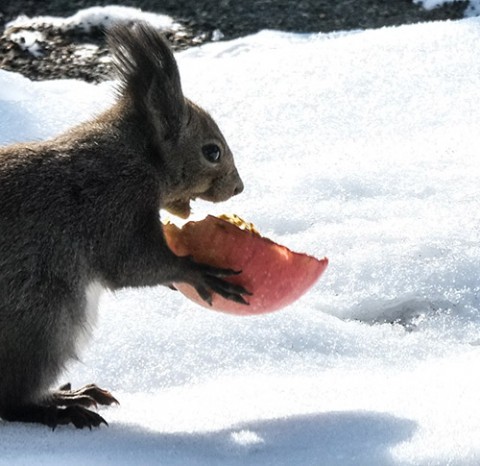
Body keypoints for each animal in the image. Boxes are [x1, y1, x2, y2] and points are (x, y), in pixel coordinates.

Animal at [0, 23, 248, 428]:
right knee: (10, 401)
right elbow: (132, 263)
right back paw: (61, 406)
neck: (135, 155)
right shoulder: (113, 205)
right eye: (212, 151)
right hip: (41, 322)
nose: (238, 187)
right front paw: (195, 271)